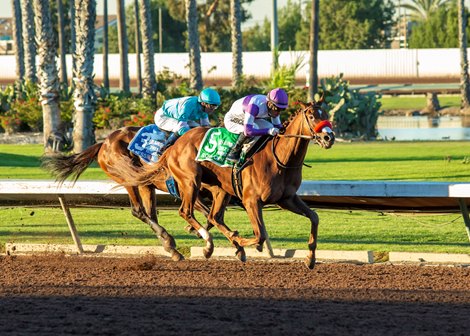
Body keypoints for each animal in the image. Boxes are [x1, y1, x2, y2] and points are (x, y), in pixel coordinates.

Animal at [115, 99, 336, 268]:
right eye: (311, 115)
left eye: (325, 113)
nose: (329, 137)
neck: (279, 159)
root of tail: (173, 145)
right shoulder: (251, 201)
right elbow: (260, 235)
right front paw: (243, 241)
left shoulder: (286, 199)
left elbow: (314, 217)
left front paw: (310, 258)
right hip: (190, 181)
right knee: (186, 212)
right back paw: (208, 244)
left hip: (220, 189)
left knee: (214, 216)